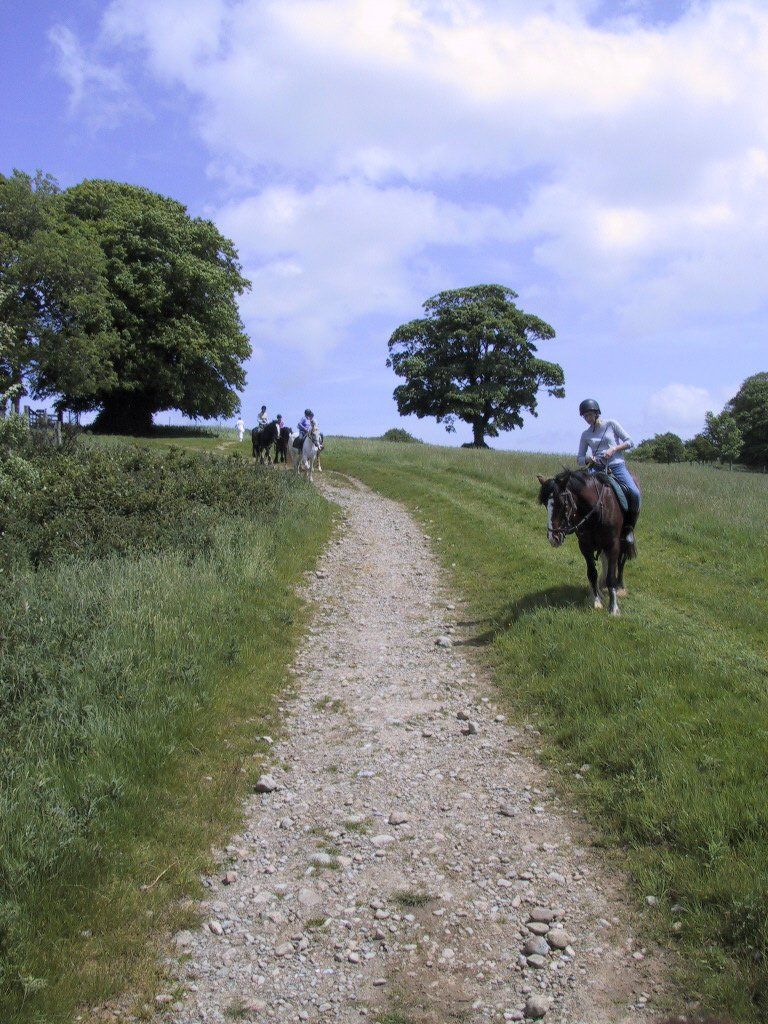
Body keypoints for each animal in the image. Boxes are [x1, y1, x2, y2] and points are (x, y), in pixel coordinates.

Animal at [537, 469, 636, 616]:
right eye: (545, 504)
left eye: (563, 503)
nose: (553, 538)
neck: (596, 511)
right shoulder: (585, 546)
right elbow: (592, 573)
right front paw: (596, 600)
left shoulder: (613, 544)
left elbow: (611, 575)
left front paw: (613, 608)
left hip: (623, 540)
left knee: (621, 561)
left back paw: (620, 587)